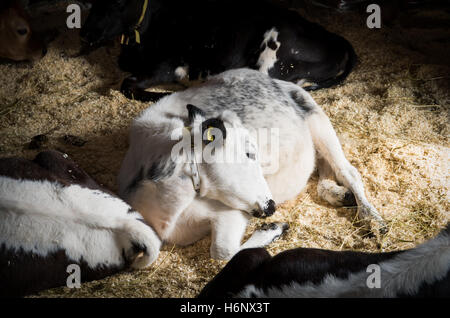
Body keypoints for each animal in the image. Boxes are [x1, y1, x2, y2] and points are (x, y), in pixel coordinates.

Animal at [79, 0, 356, 101]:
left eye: (118, 3)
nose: (86, 33)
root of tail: (337, 38)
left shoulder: (167, 64)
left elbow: (127, 84)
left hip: (271, 58)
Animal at [118, 67, 384, 260]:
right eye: (248, 153)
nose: (271, 205)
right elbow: (224, 251)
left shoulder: (231, 212)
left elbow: (223, 251)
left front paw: (273, 229)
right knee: (322, 170)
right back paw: (339, 194)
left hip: (315, 116)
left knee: (347, 170)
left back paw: (373, 219)